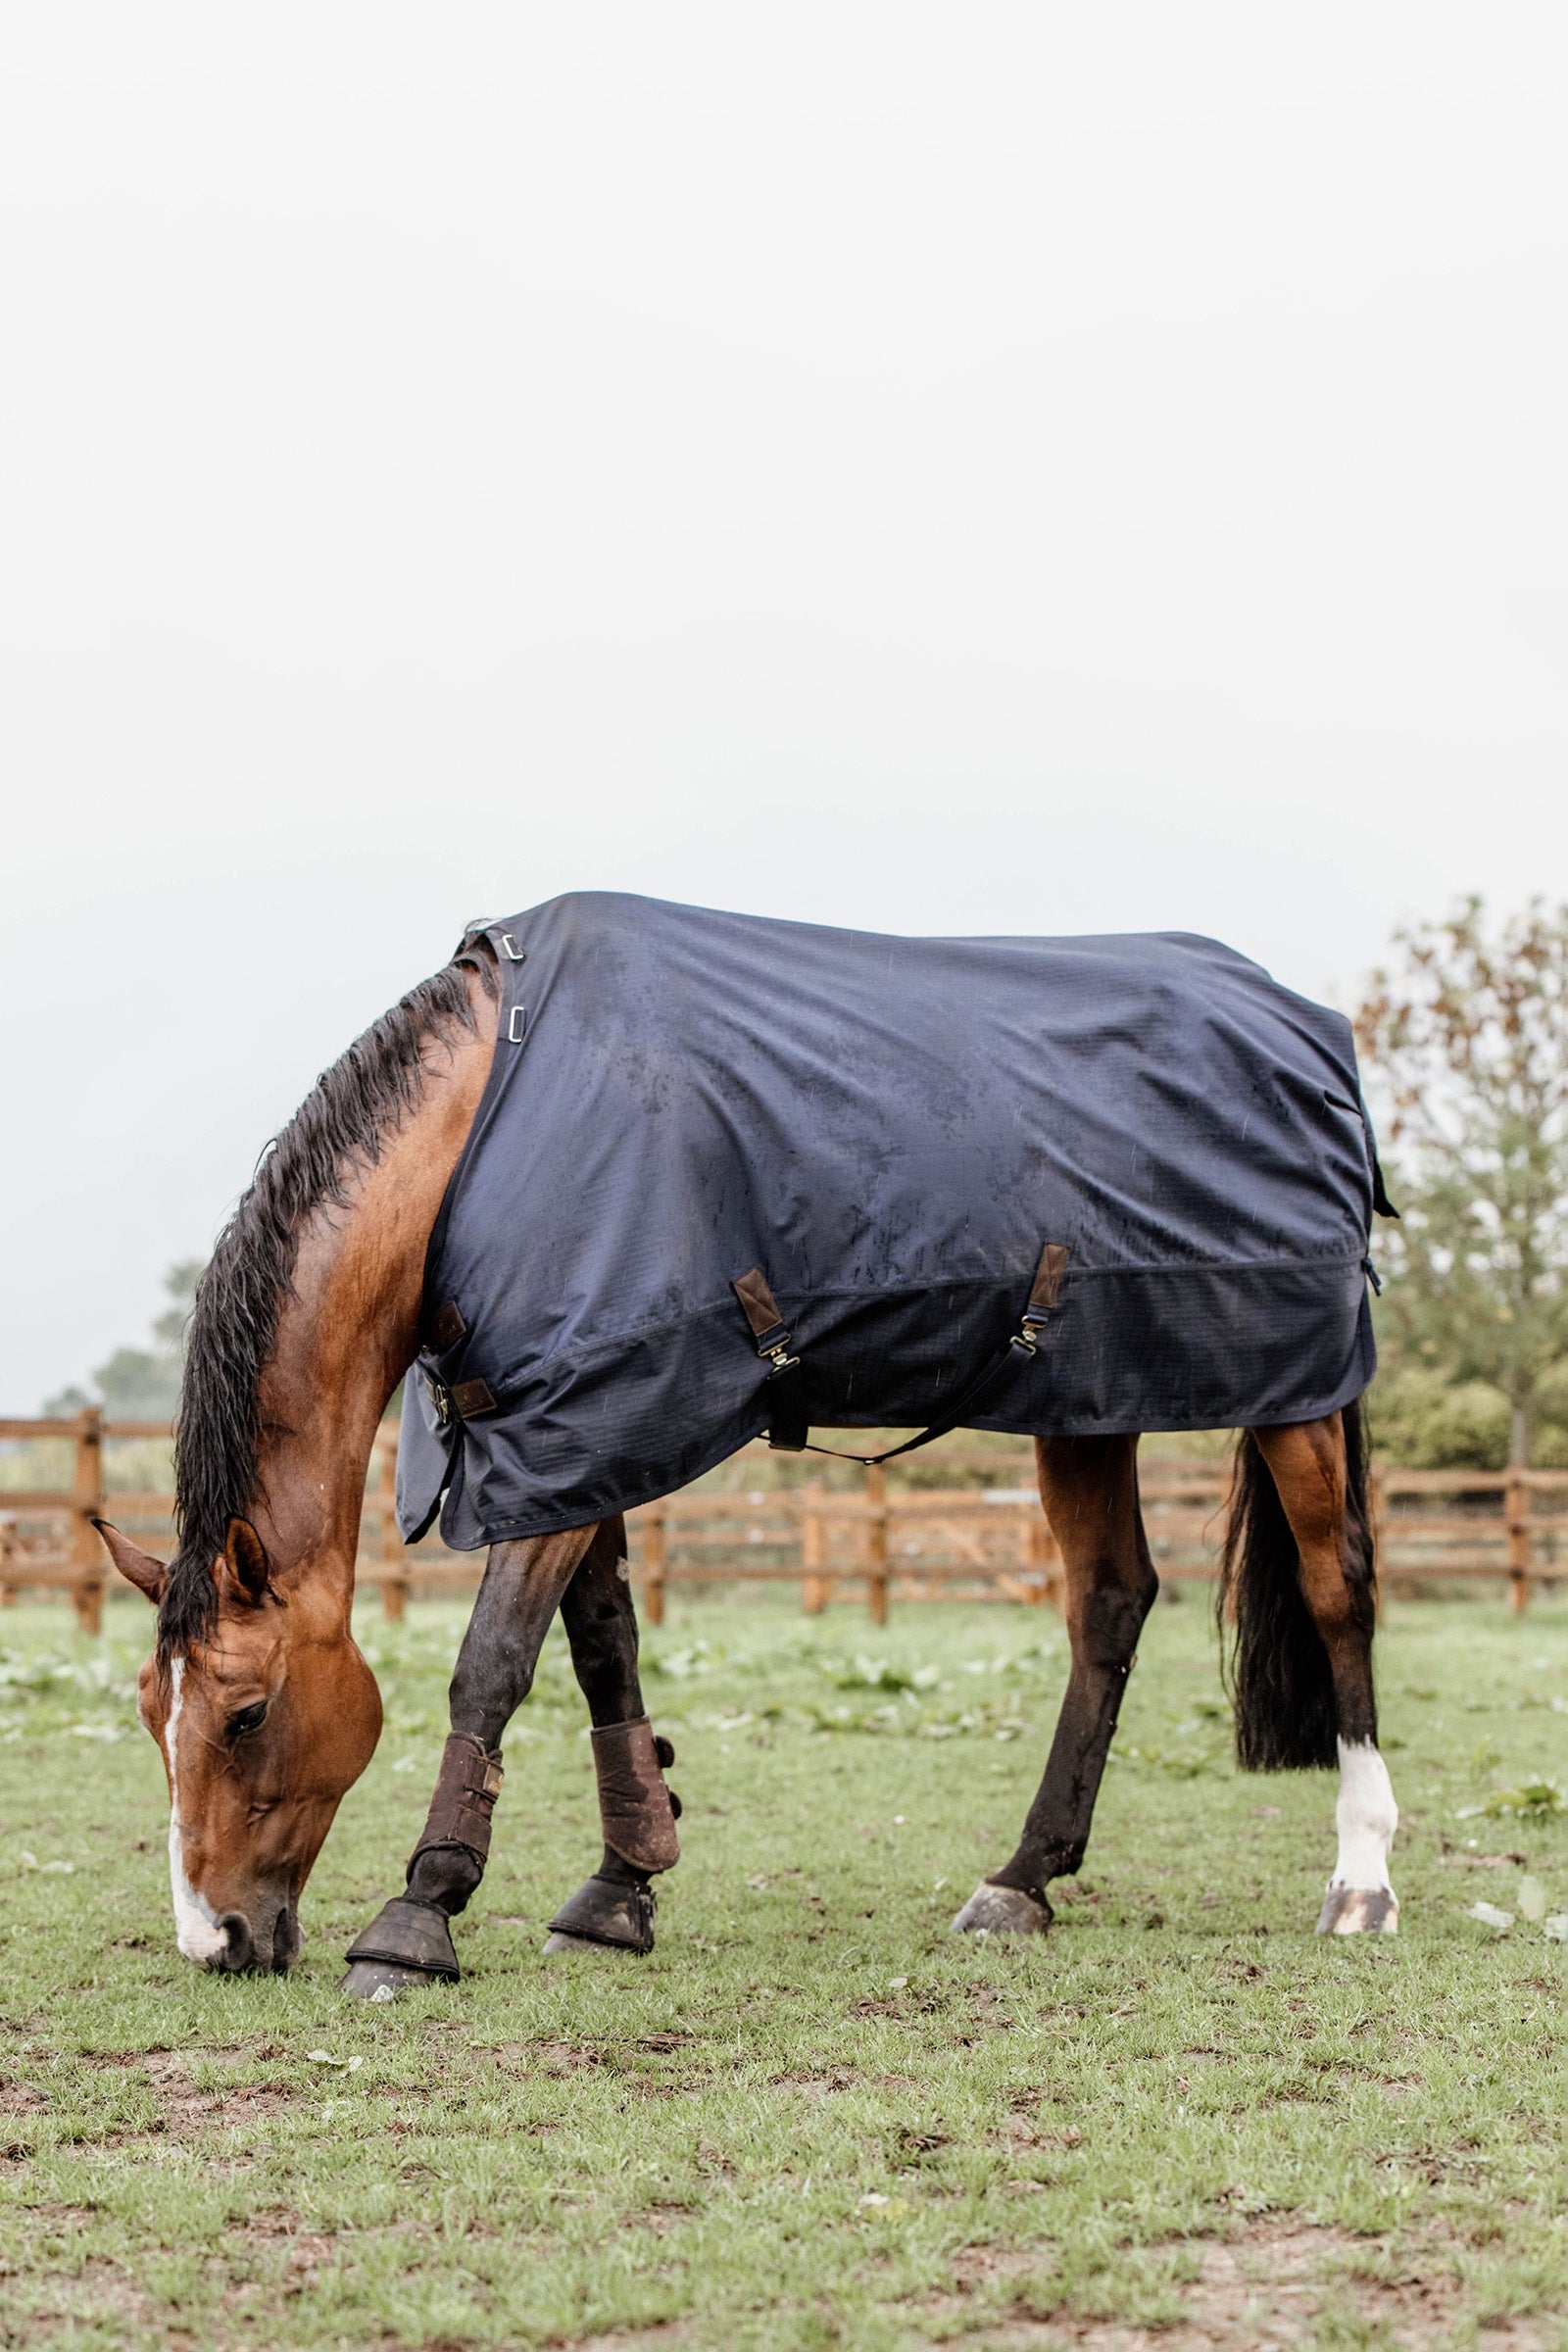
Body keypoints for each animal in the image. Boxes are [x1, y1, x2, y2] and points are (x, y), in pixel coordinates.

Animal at [96, 898, 1399, 1988]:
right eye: (153, 1716)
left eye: (246, 1714)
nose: (215, 1941)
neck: (488, 1131)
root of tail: (1294, 1025)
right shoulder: (574, 1436)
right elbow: (602, 1653)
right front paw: (619, 1890)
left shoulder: (576, 1432)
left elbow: (494, 1665)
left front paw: (418, 1917)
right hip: (1088, 1402)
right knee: (1110, 1605)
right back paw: (1021, 1879)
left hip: (1291, 1388)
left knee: (1336, 1590)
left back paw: (1361, 1881)